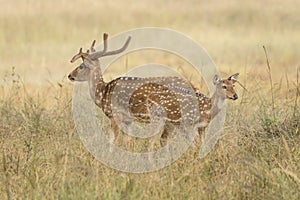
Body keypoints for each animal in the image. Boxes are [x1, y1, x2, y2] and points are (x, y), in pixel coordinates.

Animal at [68, 33, 239, 150]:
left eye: (81, 66)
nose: (70, 75)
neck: (103, 92)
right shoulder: (128, 120)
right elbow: (127, 142)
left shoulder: (115, 114)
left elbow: (112, 141)